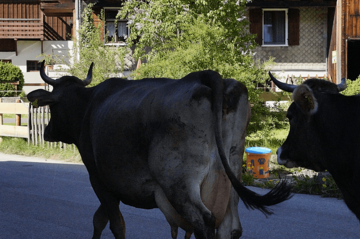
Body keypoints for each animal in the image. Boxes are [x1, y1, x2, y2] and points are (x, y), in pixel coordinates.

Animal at [26, 62, 292, 239]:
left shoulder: (98, 178)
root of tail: (207, 77)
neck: (88, 106)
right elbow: (101, 219)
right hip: (230, 177)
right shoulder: (114, 185)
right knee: (230, 227)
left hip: (178, 182)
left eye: (52, 107)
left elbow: (114, 224)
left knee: (204, 221)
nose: (47, 132)